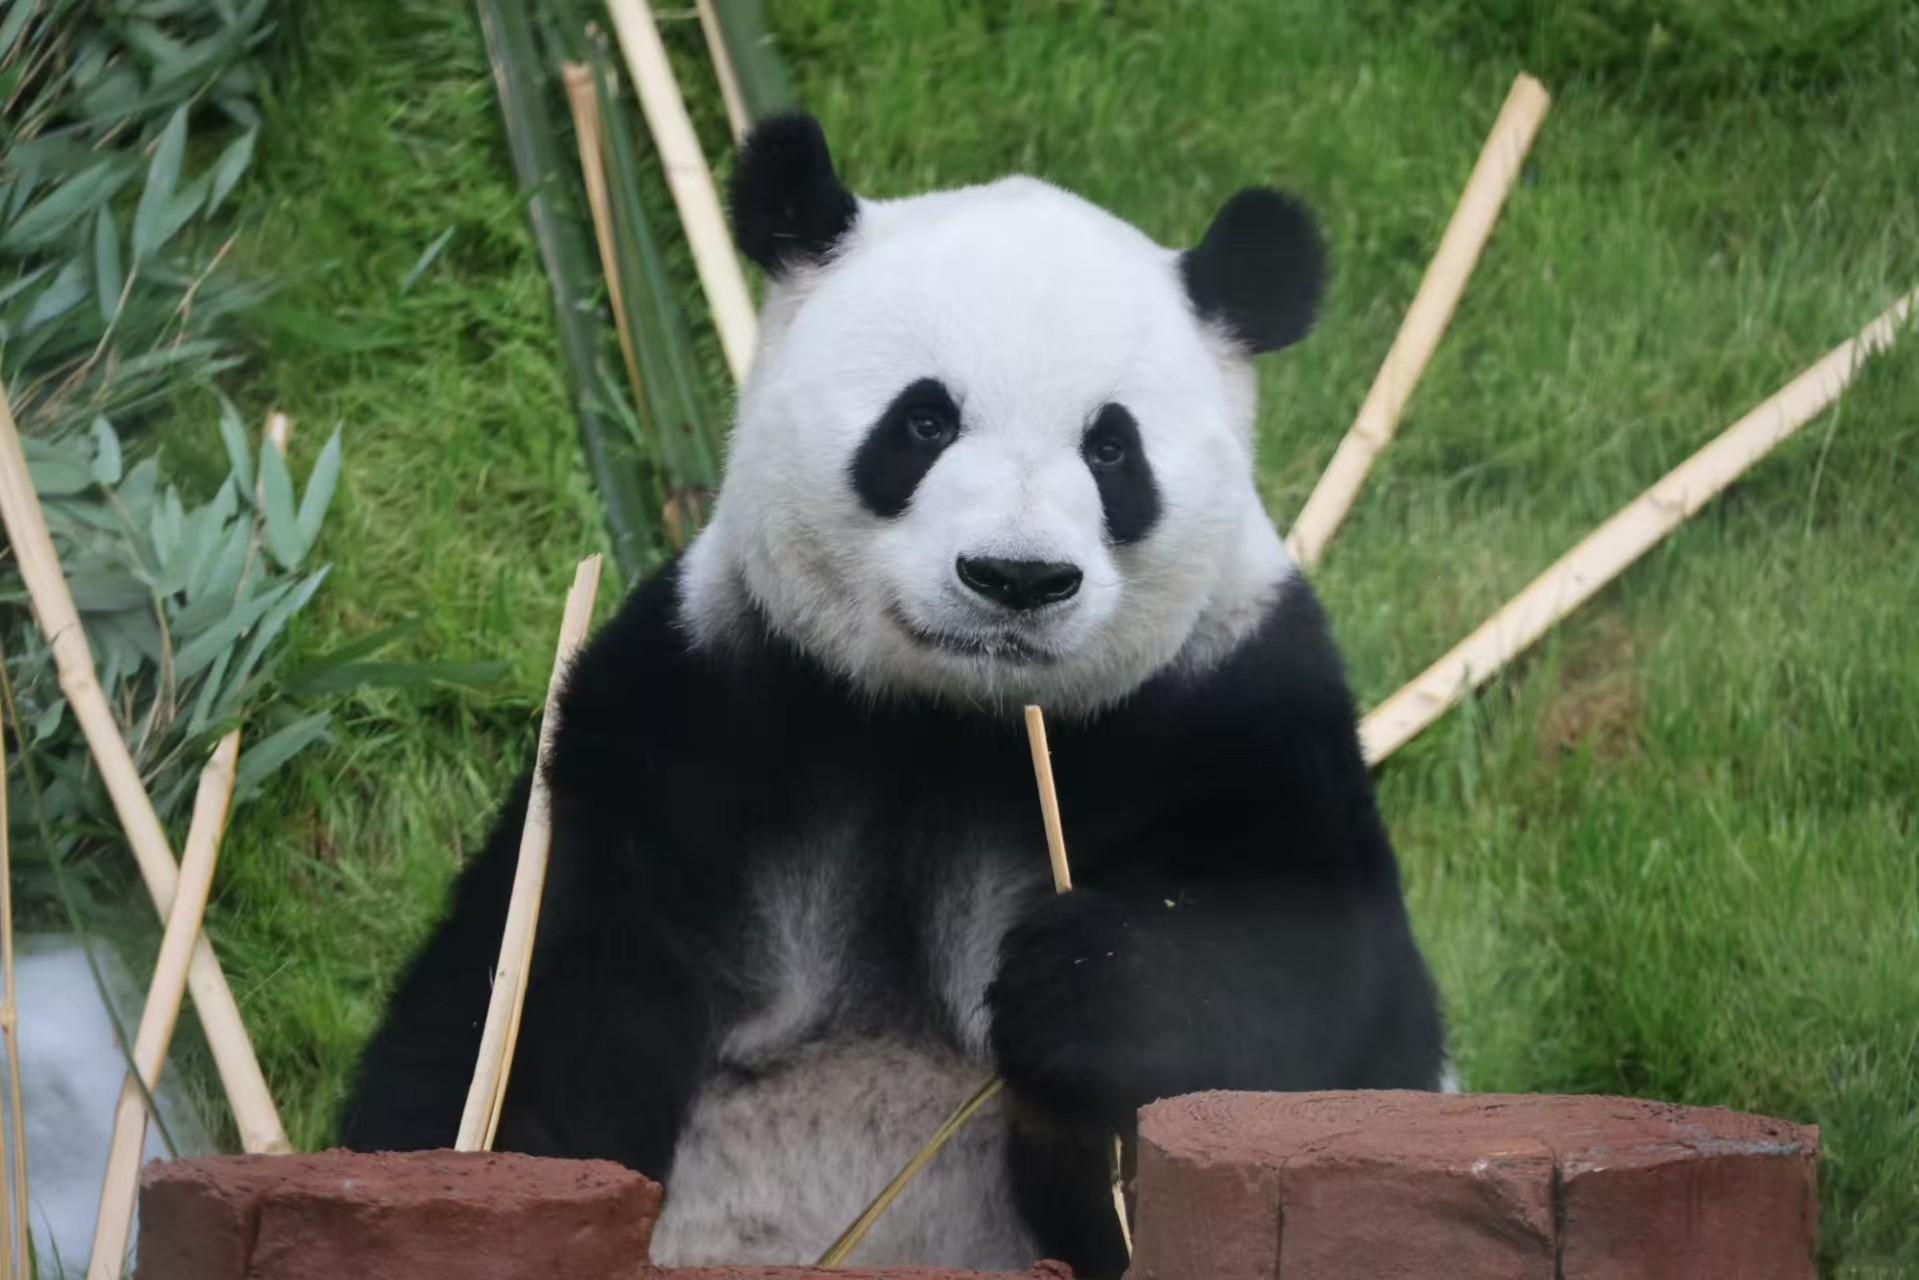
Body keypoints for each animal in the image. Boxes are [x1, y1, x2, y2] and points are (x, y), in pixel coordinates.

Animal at [341, 112, 1446, 1279]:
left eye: (1111, 448)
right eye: (922, 423)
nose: (1015, 577)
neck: (950, 721)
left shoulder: (1236, 708)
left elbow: (1329, 1024)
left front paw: (1084, 985)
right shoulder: (687, 713)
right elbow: (529, 1017)